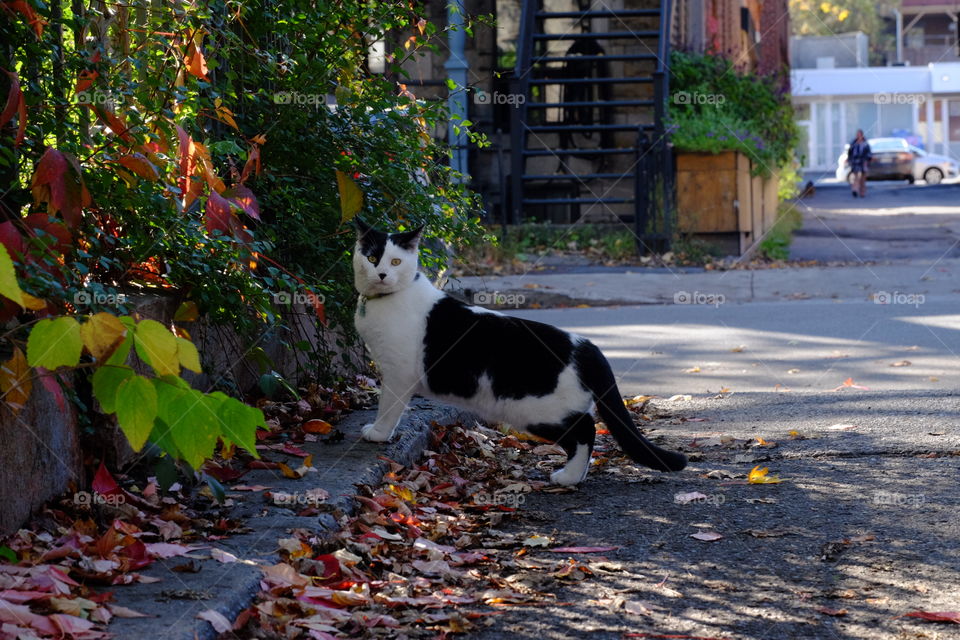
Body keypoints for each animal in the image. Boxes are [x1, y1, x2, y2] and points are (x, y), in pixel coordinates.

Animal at [356, 220, 688, 484]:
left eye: (395, 262)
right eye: (371, 258)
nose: (382, 274)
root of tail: (587, 346)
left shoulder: (398, 373)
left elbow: (388, 406)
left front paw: (378, 432)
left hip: (539, 410)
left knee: (586, 429)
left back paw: (568, 478)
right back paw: (575, 474)